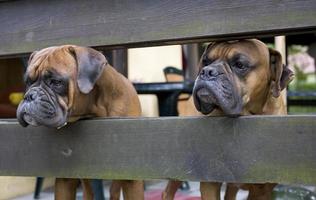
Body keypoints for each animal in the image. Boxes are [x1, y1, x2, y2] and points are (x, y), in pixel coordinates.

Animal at [16, 45, 144, 200]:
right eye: (28, 82)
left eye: (56, 82)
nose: (29, 95)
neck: (96, 107)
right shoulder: (65, 181)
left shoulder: (132, 180)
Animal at [163, 38, 294, 199]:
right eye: (206, 61)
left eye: (240, 65)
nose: (207, 71)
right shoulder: (210, 183)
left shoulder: (262, 190)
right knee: (168, 191)